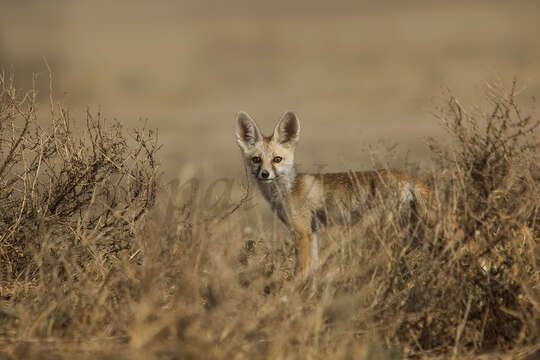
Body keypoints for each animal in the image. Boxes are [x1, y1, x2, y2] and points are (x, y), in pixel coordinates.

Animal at [235, 111, 434, 278]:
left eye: (277, 159)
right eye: (256, 160)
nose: (265, 174)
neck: (286, 190)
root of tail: (404, 175)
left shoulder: (302, 232)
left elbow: (300, 270)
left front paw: (292, 291)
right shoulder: (313, 231)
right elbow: (313, 267)